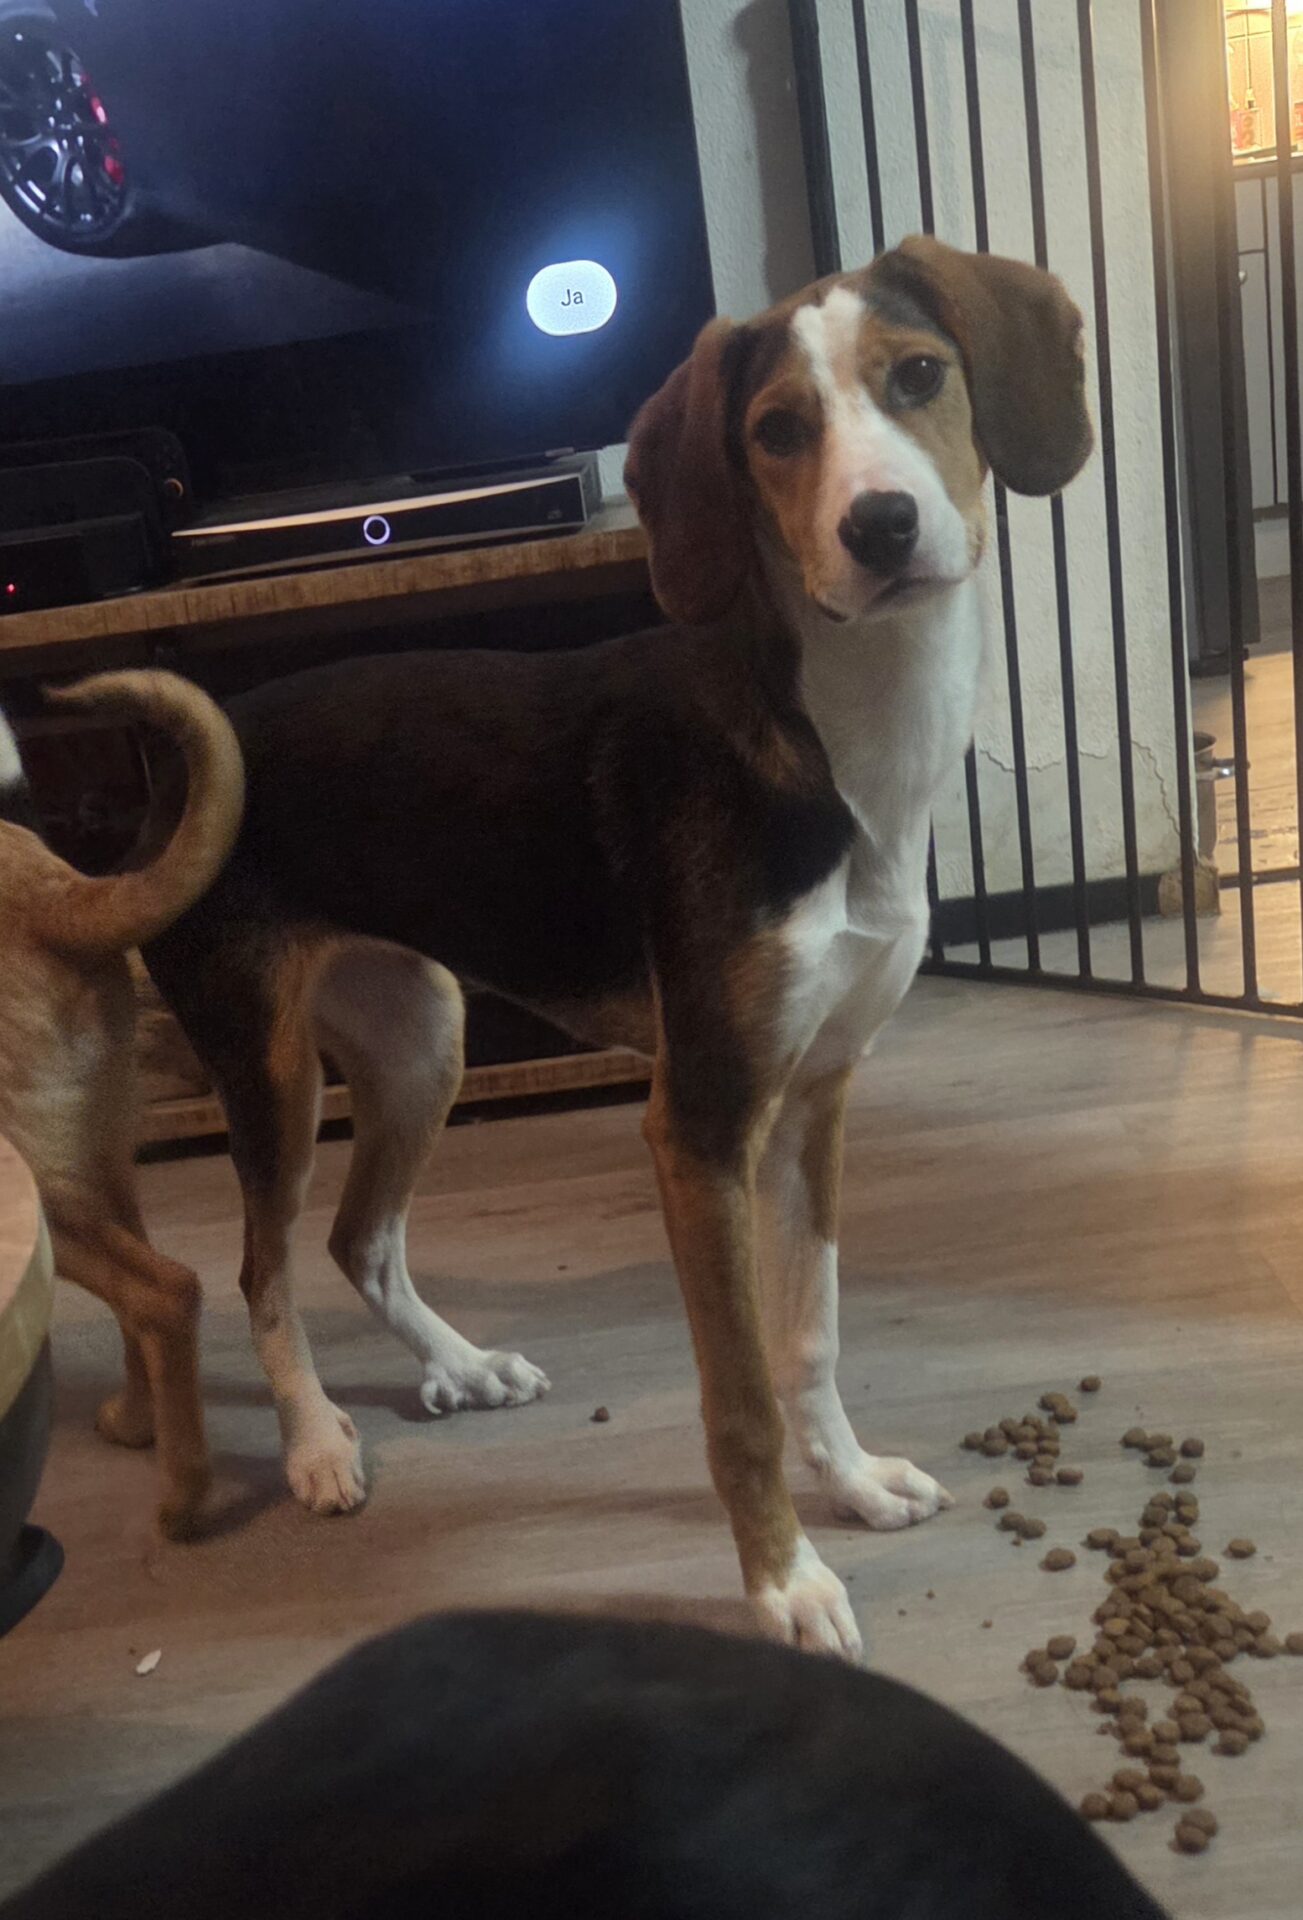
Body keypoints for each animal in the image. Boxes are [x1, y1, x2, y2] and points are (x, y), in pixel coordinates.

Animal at [0, 672, 244, 1538]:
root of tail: (59, 893)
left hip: (40, 1190)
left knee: (165, 1294)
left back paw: (185, 1504)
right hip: (99, 1159)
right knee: (142, 1301)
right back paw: (139, 1427)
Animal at [141, 236, 1093, 1652]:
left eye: (921, 375)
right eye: (775, 432)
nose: (879, 527)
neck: (840, 742)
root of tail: (181, 778)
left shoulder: (817, 1095)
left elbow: (809, 1337)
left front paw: (853, 1482)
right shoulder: (698, 1124)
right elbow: (742, 1391)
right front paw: (784, 1579)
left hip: (421, 1039)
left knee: (359, 1238)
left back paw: (462, 1366)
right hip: (268, 1069)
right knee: (261, 1266)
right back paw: (315, 1445)